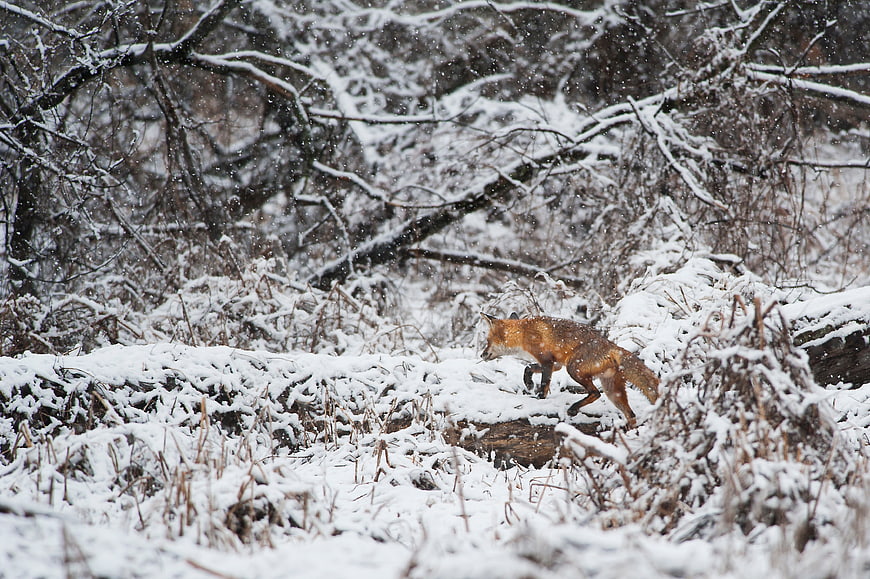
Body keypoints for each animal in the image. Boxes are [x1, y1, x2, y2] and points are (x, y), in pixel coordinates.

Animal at [480, 313, 659, 429]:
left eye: (487, 341)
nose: (482, 354)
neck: (523, 332)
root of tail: (612, 346)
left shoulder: (547, 361)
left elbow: (544, 383)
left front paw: (539, 398)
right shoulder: (556, 364)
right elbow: (528, 367)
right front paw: (529, 383)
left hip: (574, 369)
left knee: (595, 393)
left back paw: (574, 408)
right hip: (612, 391)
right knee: (631, 415)